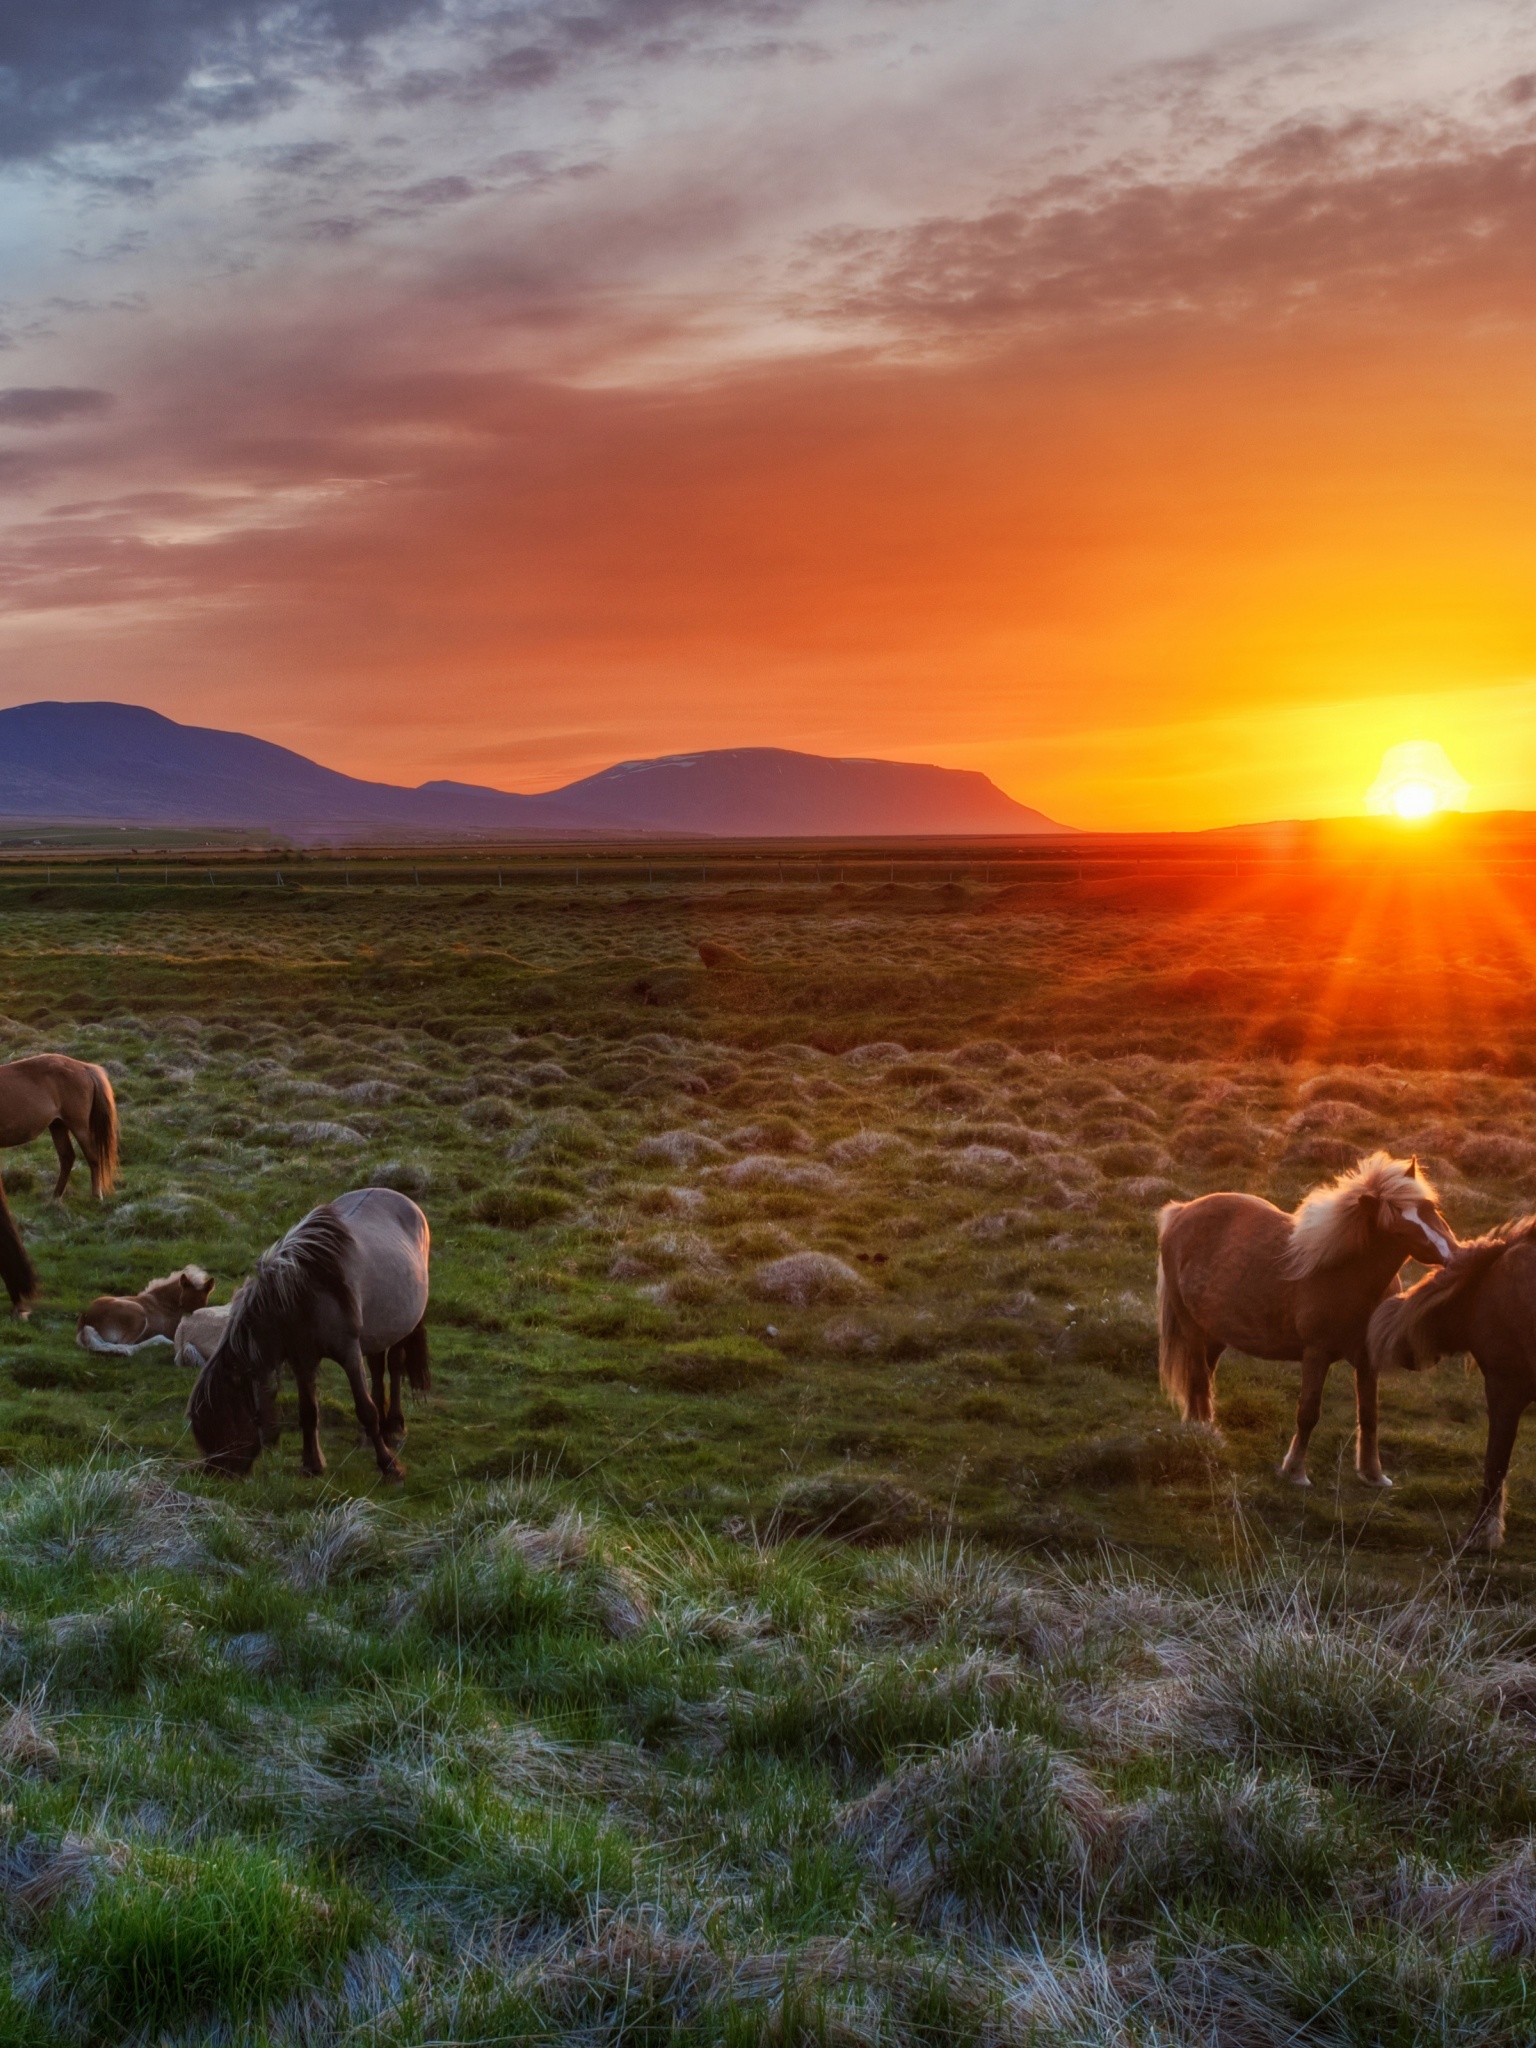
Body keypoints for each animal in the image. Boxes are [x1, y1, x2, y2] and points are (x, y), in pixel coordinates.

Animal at [0, 1056, 120, 1310]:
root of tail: (84, 1067)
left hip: (78, 1124)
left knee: (92, 1157)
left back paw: (96, 1196)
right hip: (57, 1125)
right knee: (67, 1157)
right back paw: (55, 1197)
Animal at [78, 1269, 215, 1351]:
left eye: (203, 1304)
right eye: (182, 1304)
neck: (165, 1304)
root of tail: (84, 1323)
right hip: (138, 1314)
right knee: (125, 1345)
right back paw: (162, 1341)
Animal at [192, 1187, 436, 1490]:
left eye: (227, 1418)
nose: (214, 1475)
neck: (303, 1296)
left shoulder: (349, 1354)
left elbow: (365, 1410)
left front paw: (389, 1466)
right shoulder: (303, 1360)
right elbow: (308, 1412)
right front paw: (311, 1465)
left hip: (403, 1327)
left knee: (395, 1366)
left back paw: (394, 1425)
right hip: (379, 1330)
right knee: (379, 1368)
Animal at [1163, 1155, 1458, 1490]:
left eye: (1429, 1208)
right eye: (1397, 1230)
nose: (1454, 1256)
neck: (1347, 1274)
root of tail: (1181, 1212)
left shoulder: (1367, 1360)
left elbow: (1369, 1415)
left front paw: (1373, 1474)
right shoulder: (1316, 1354)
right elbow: (1308, 1412)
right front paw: (1295, 1472)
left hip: (1214, 1334)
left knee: (1201, 1378)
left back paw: (1198, 1430)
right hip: (1191, 1327)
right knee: (1199, 1378)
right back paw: (1206, 1436)